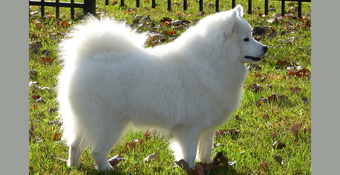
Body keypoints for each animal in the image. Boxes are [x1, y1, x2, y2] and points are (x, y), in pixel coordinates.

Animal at [57, 4, 266, 170]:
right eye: (246, 39)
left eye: (251, 36)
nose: (265, 48)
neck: (212, 60)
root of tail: (91, 57)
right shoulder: (190, 127)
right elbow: (190, 153)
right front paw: (190, 168)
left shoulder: (207, 127)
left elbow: (205, 150)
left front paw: (207, 165)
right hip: (109, 123)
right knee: (97, 151)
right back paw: (107, 168)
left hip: (85, 120)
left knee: (74, 145)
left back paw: (73, 166)